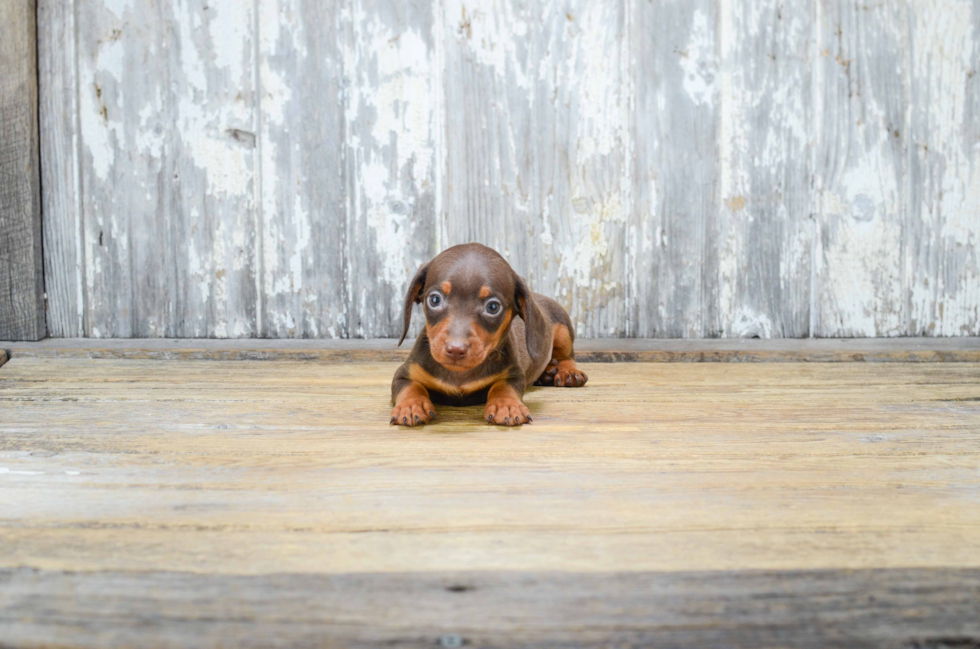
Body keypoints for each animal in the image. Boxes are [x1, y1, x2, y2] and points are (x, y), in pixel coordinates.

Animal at [390, 243, 588, 426]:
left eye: (492, 307)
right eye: (434, 299)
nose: (455, 350)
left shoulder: (513, 374)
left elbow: (502, 386)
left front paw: (506, 405)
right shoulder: (405, 373)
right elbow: (410, 386)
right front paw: (411, 405)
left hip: (563, 327)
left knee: (567, 356)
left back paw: (568, 372)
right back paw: (547, 372)